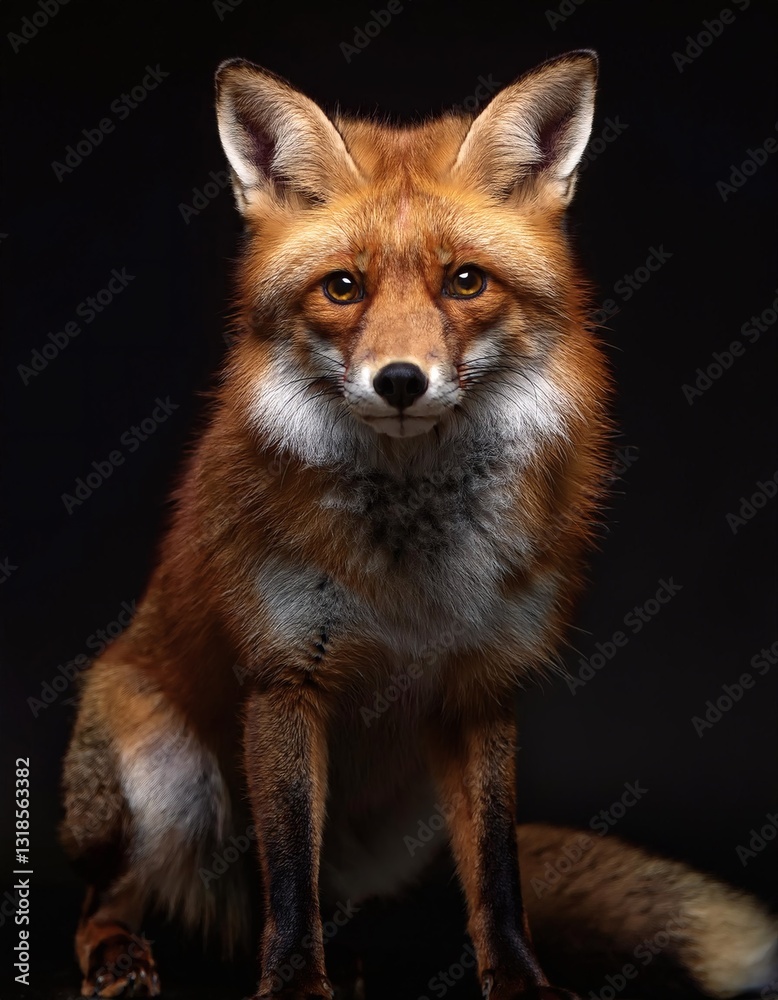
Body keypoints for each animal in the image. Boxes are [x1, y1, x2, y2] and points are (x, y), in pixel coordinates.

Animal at [60, 51, 777, 1000]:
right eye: (344, 288)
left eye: (464, 280)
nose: (400, 380)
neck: (409, 563)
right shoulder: (282, 682)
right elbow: (287, 879)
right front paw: (294, 985)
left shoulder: (482, 687)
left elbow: (497, 877)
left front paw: (521, 983)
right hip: (166, 778)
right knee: (119, 896)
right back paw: (120, 953)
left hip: (400, 830)